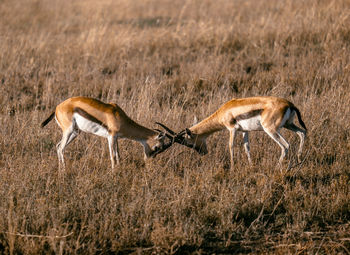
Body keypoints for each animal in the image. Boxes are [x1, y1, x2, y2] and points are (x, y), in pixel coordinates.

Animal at [41, 96, 173, 168]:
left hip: (75, 132)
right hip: (68, 131)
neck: (119, 117)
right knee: (61, 148)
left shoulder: (117, 138)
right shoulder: (111, 136)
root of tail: (57, 108)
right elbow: (113, 157)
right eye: (157, 147)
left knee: (58, 146)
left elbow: (118, 155)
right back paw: (63, 172)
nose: (148, 161)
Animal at [156, 95, 306, 167]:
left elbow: (231, 146)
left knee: (285, 145)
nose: (203, 153)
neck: (224, 111)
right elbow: (247, 148)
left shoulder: (232, 129)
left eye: (189, 143)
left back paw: (278, 167)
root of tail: (289, 104)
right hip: (289, 125)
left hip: (271, 129)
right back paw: (299, 160)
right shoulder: (245, 131)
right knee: (302, 133)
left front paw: (233, 167)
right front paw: (251, 166)